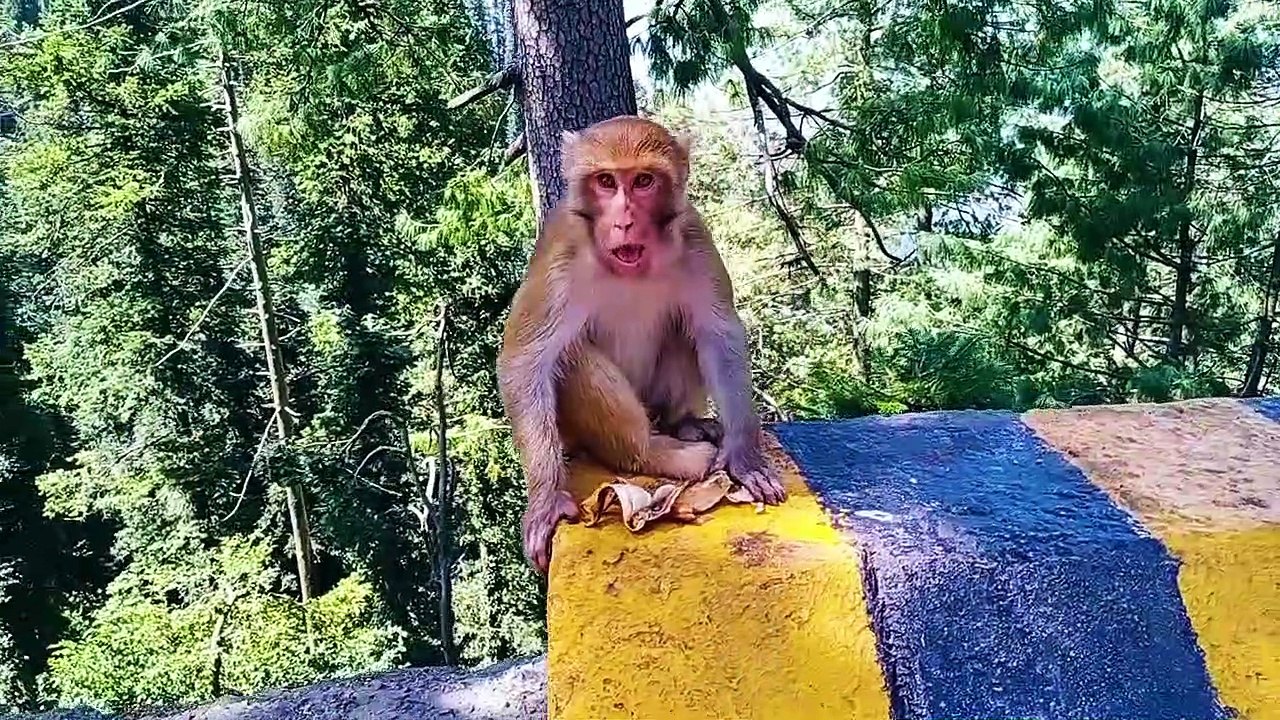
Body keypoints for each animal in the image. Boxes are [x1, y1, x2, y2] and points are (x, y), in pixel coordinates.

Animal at [497, 115, 786, 574]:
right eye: (606, 181)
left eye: (644, 181)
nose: (625, 221)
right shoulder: (562, 248)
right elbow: (525, 360)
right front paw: (545, 501)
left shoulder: (694, 235)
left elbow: (718, 332)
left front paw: (745, 457)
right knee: (571, 354)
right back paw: (653, 453)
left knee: (684, 330)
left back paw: (683, 423)